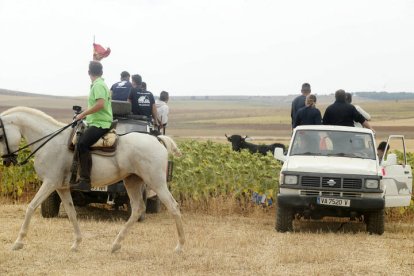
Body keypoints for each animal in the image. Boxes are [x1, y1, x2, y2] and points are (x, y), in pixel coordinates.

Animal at [0, 106, 184, 253]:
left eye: (1, 136)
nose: (7, 161)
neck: (50, 143)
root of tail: (157, 139)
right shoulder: (62, 188)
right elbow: (72, 213)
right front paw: (76, 243)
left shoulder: (49, 183)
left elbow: (31, 207)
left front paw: (18, 242)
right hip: (132, 181)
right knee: (138, 209)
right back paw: (115, 245)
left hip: (156, 183)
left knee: (173, 207)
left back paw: (180, 246)